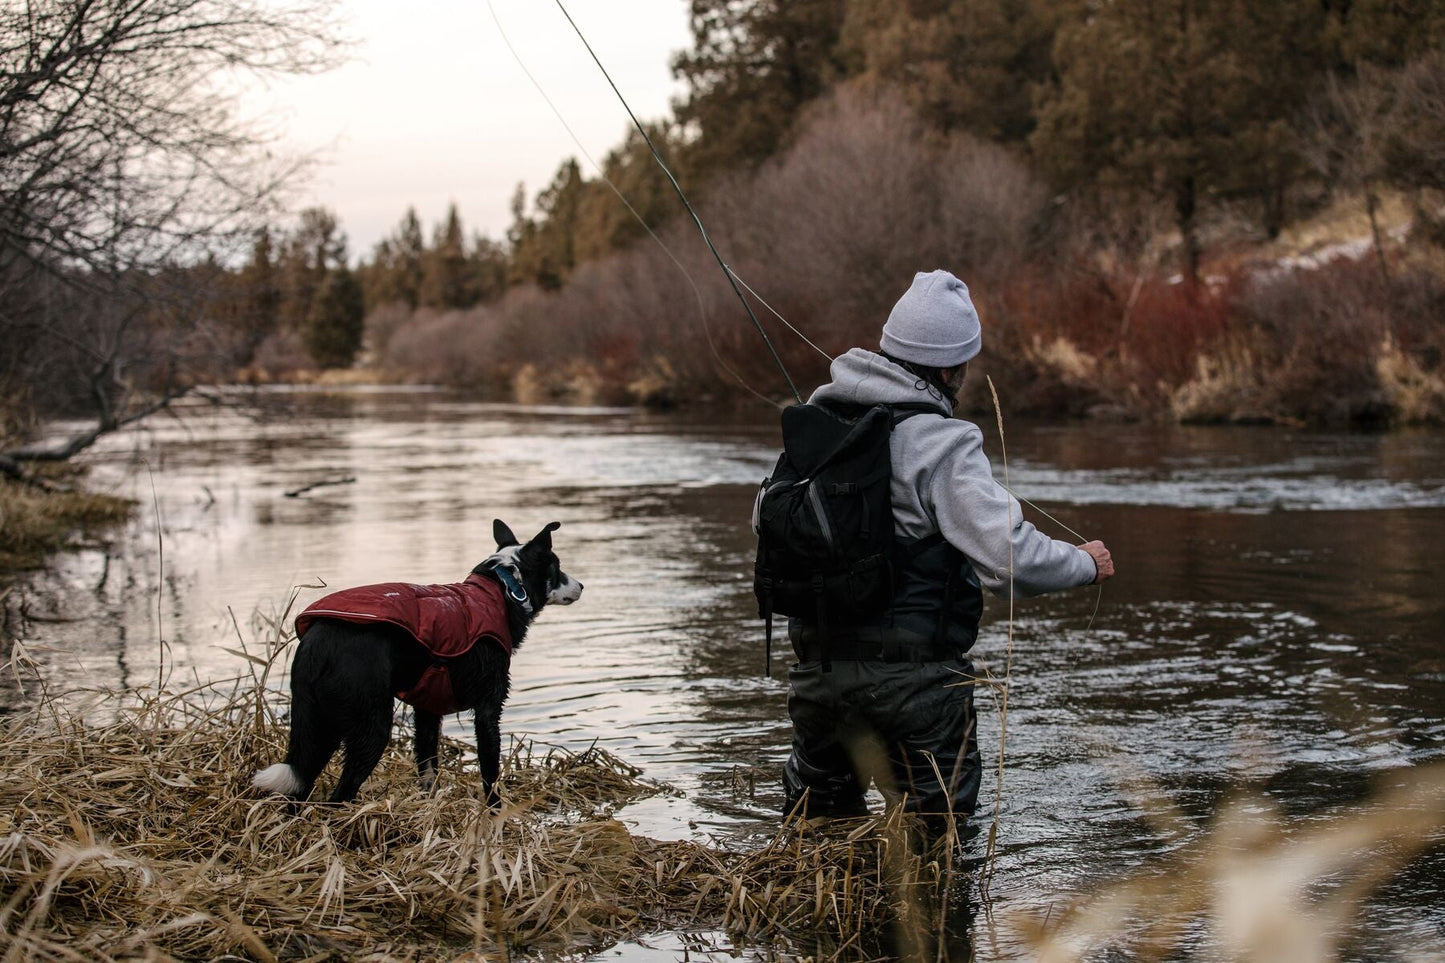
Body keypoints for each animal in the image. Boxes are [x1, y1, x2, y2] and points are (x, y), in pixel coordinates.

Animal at [252, 517, 580, 803]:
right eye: (557, 567)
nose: (581, 586)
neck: (505, 589)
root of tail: (318, 643)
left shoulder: (427, 711)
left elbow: (427, 769)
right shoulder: (488, 710)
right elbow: (490, 775)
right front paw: (494, 816)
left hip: (318, 724)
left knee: (299, 788)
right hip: (371, 726)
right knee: (339, 794)